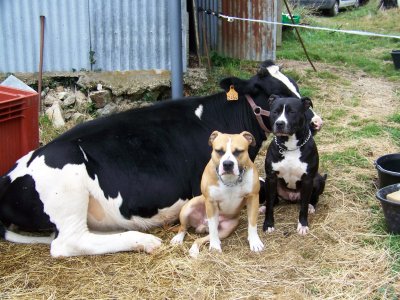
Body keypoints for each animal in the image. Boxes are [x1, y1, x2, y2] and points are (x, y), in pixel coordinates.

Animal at [262, 95, 328, 236]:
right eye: (275, 112)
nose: (279, 123)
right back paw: (263, 207)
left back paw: (311, 207)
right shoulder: (271, 178)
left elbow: (303, 207)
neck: (290, 146)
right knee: (273, 200)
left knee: (312, 199)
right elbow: (270, 204)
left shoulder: (308, 180)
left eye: (292, 112)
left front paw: (302, 225)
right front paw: (268, 224)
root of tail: (292, 197)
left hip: (318, 179)